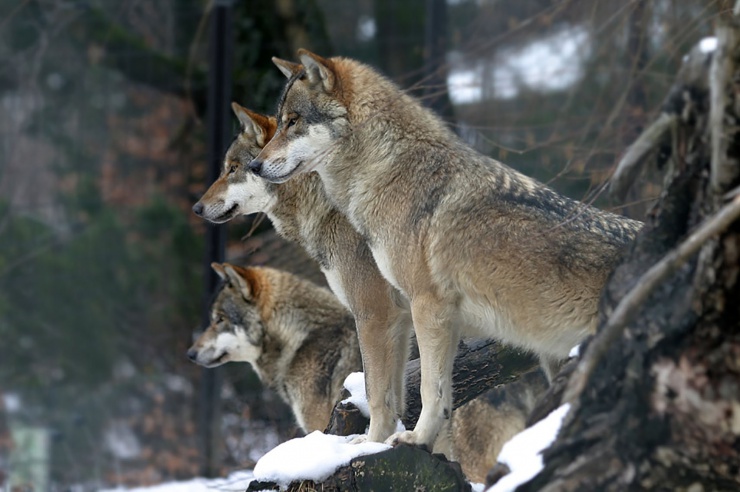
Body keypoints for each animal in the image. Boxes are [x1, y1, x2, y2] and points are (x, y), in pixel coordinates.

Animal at [249, 48, 640, 452]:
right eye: (280, 123)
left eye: (292, 122)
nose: (254, 165)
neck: (388, 169)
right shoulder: (425, 318)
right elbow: (414, 393)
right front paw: (387, 441)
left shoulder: (424, 307)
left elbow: (421, 389)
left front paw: (412, 439)